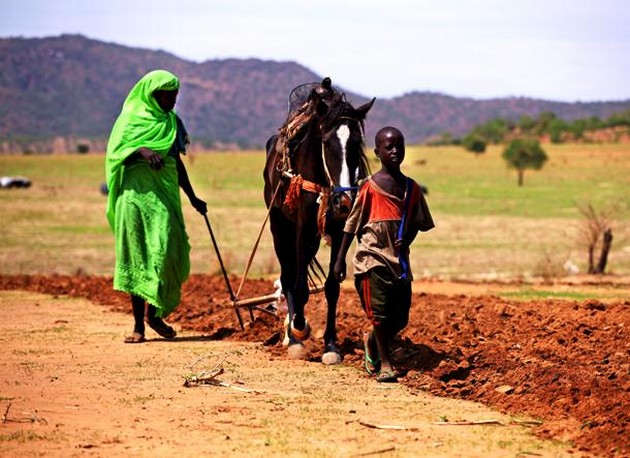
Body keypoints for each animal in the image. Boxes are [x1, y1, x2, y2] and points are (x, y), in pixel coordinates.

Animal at [262, 78, 376, 364]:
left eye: (357, 143)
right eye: (327, 142)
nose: (344, 201)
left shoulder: (337, 229)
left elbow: (332, 285)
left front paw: (331, 345)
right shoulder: (302, 228)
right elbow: (299, 285)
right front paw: (298, 331)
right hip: (280, 227)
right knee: (288, 275)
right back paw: (292, 334)